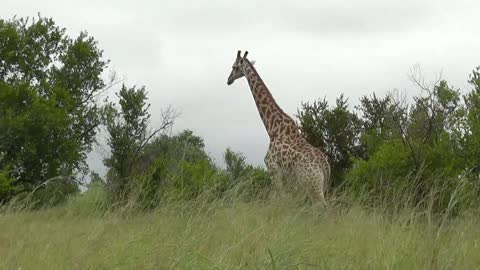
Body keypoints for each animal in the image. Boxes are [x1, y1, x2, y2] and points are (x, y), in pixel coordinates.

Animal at [227, 50, 332, 204]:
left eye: (234, 67)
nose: (228, 80)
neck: (272, 127)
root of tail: (325, 167)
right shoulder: (286, 178)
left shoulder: (273, 169)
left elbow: (278, 198)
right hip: (321, 187)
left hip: (313, 186)